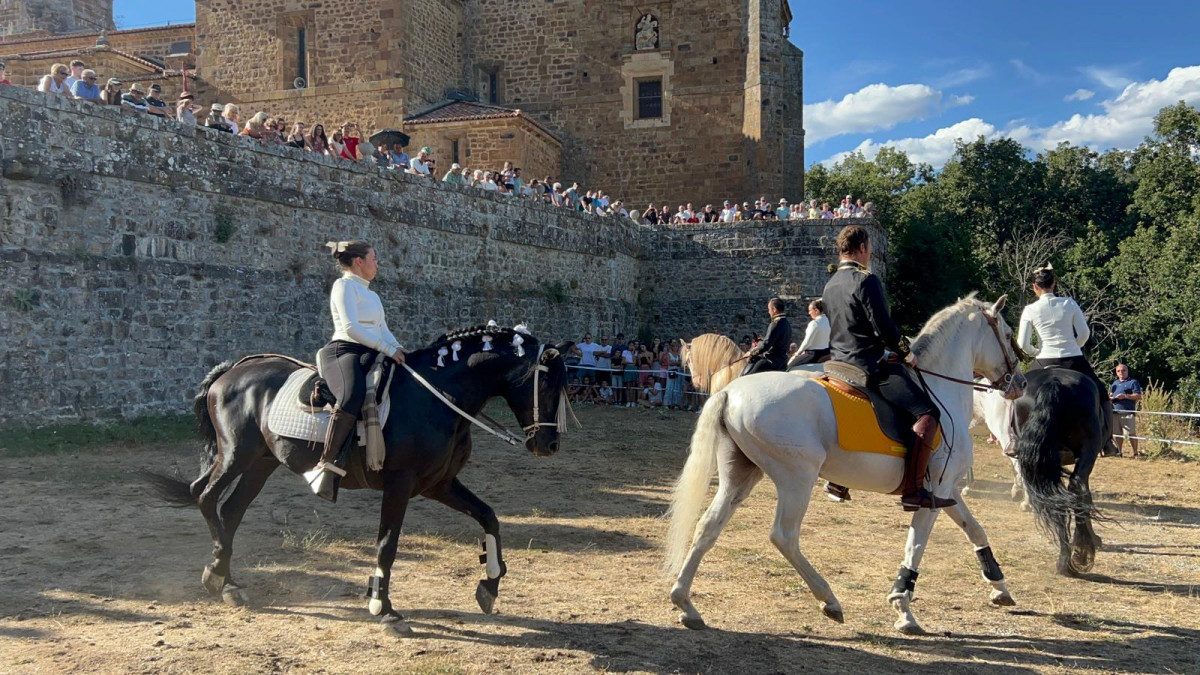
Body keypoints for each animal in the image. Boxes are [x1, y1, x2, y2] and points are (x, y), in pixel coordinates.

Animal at [140, 324, 571, 629]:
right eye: (548, 382)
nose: (548, 444)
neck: (438, 397)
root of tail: (235, 369)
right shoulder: (400, 483)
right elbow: (386, 545)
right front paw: (382, 606)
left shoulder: (438, 484)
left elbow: (489, 518)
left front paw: (489, 586)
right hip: (236, 454)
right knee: (206, 498)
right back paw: (216, 576)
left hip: (261, 463)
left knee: (230, 511)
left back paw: (228, 584)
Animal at [667, 293, 1022, 629]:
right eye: (1007, 333)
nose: (1017, 383)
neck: (939, 389)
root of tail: (731, 392)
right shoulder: (934, 492)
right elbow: (915, 547)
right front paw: (903, 608)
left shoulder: (946, 491)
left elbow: (975, 530)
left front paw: (999, 587)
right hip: (797, 478)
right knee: (784, 536)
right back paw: (829, 599)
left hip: (741, 475)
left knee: (708, 526)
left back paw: (685, 603)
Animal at [1012, 367, 1104, 571]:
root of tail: (1053, 382)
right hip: (1088, 449)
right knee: (1077, 488)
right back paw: (1081, 552)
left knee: (1056, 500)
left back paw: (1065, 560)